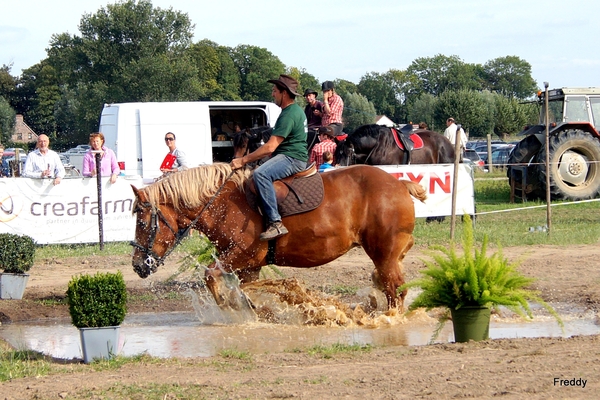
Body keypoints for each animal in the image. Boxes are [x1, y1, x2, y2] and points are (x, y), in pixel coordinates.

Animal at [131, 162, 426, 306]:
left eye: (142, 223)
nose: (137, 265)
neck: (225, 203)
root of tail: (399, 183)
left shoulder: (243, 255)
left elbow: (211, 276)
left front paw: (227, 306)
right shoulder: (249, 267)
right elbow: (243, 290)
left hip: (384, 255)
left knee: (395, 291)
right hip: (390, 256)